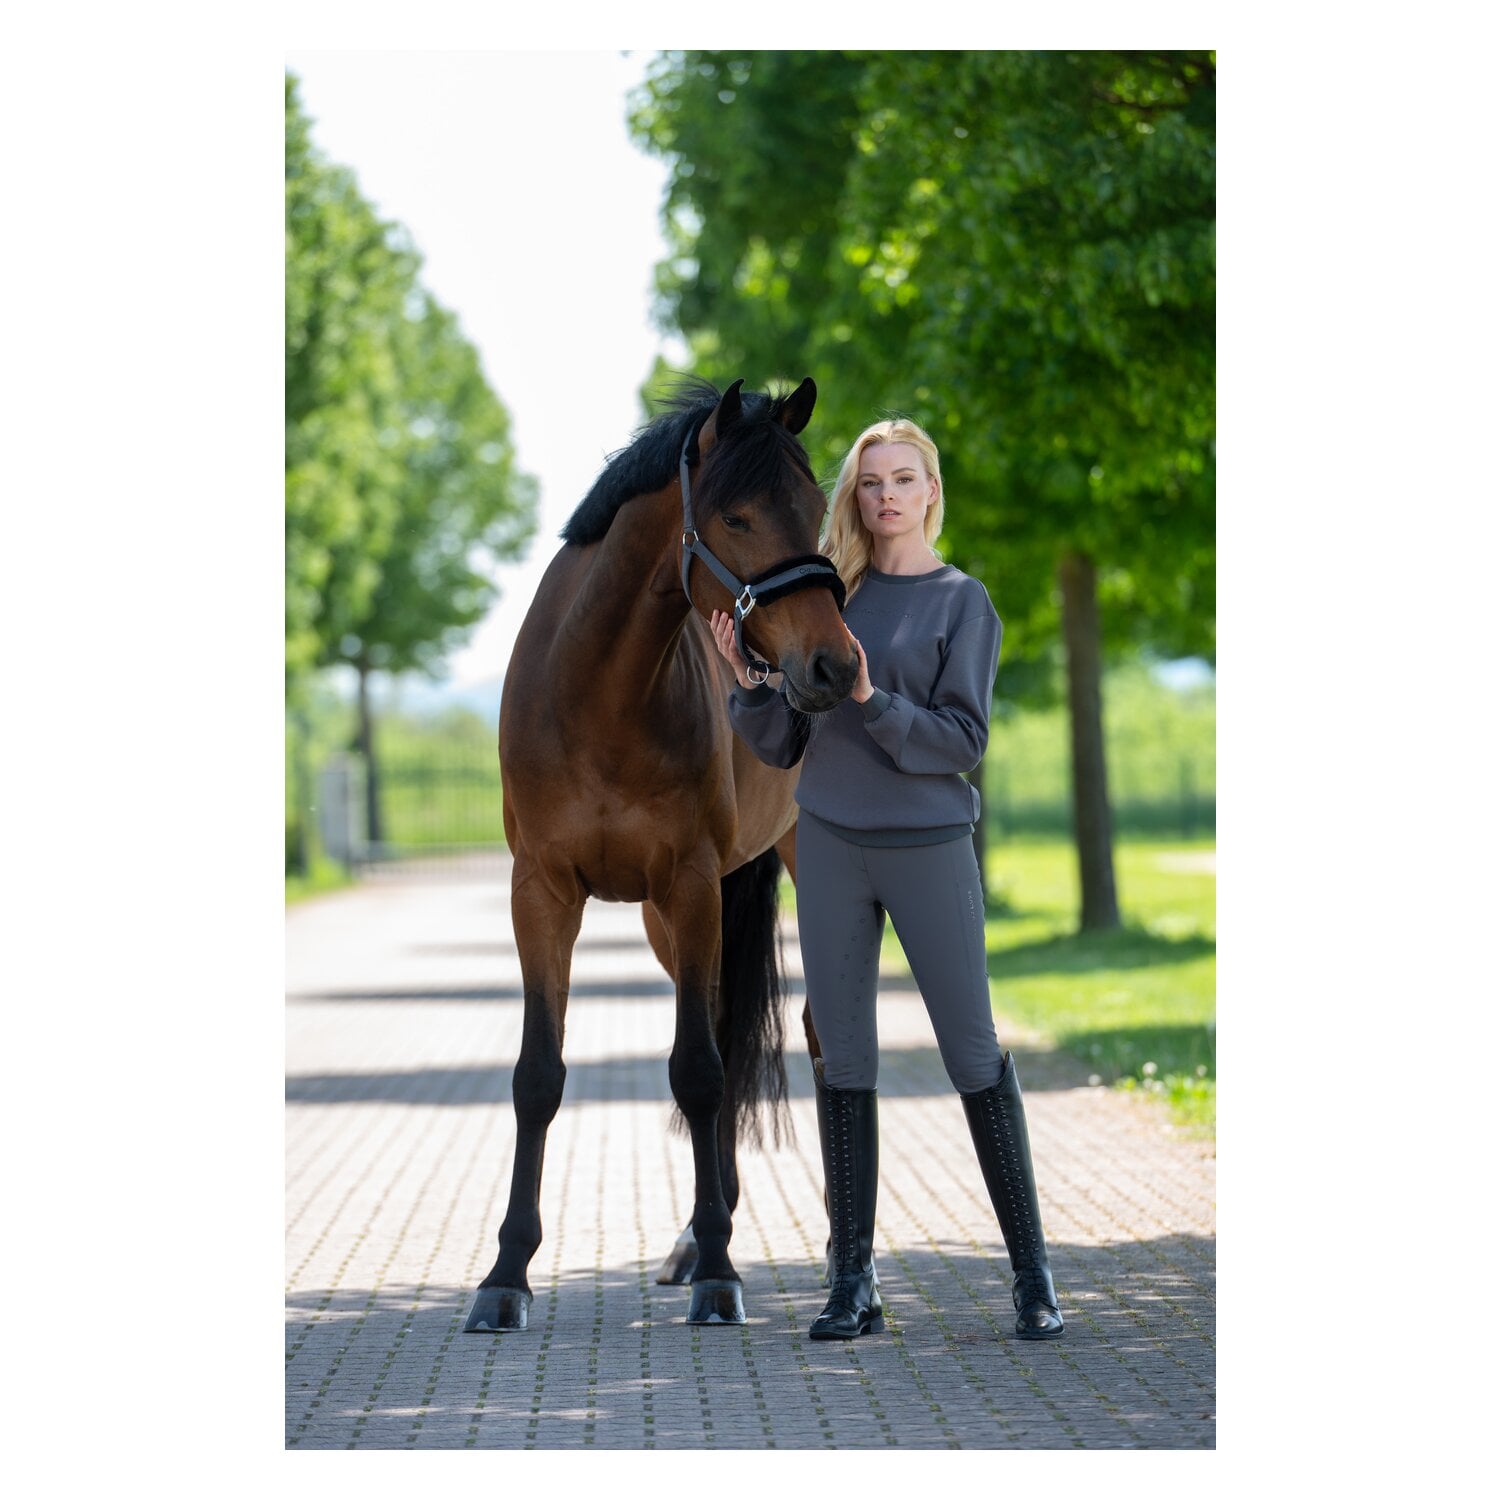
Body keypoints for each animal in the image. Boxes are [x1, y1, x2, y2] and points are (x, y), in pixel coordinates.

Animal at [465, 376, 857, 1332]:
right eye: (738, 516)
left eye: (816, 509)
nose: (832, 665)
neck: (600, 692)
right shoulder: (544, 893)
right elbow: (539, 1075)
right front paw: (506, 1276)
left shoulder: (691, 884)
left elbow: (700, 1072)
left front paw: (720, 1271)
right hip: (661, 917)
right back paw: (691, 1239)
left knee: (814, 1037)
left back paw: (829, 1246)